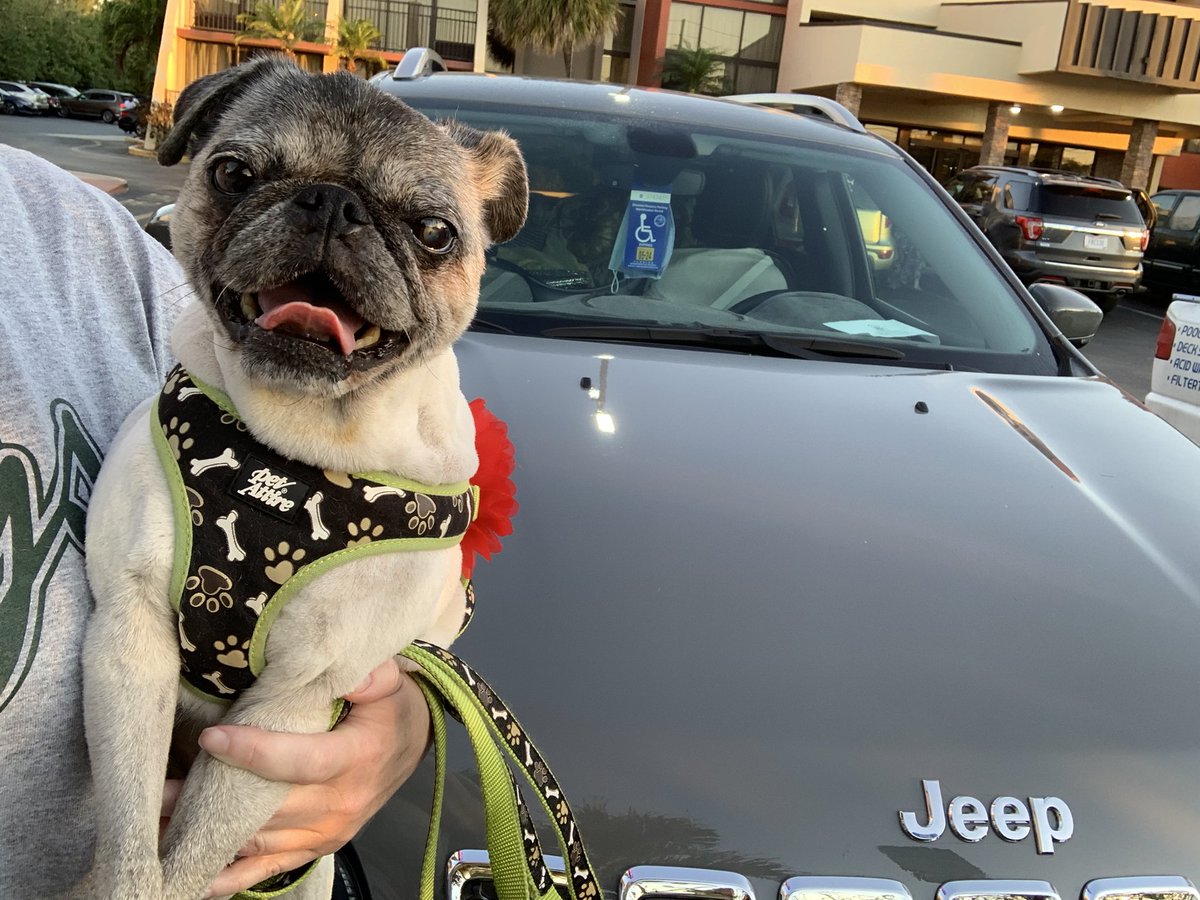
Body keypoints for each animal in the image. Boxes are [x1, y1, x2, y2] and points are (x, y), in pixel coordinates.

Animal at [76, 58, 525, 900]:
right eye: (234, 173)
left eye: (435, 233)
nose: (332, 204)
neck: (291, 452)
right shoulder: (129, 640)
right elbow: (128, 836)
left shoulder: (292, 707)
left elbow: (192, 863)